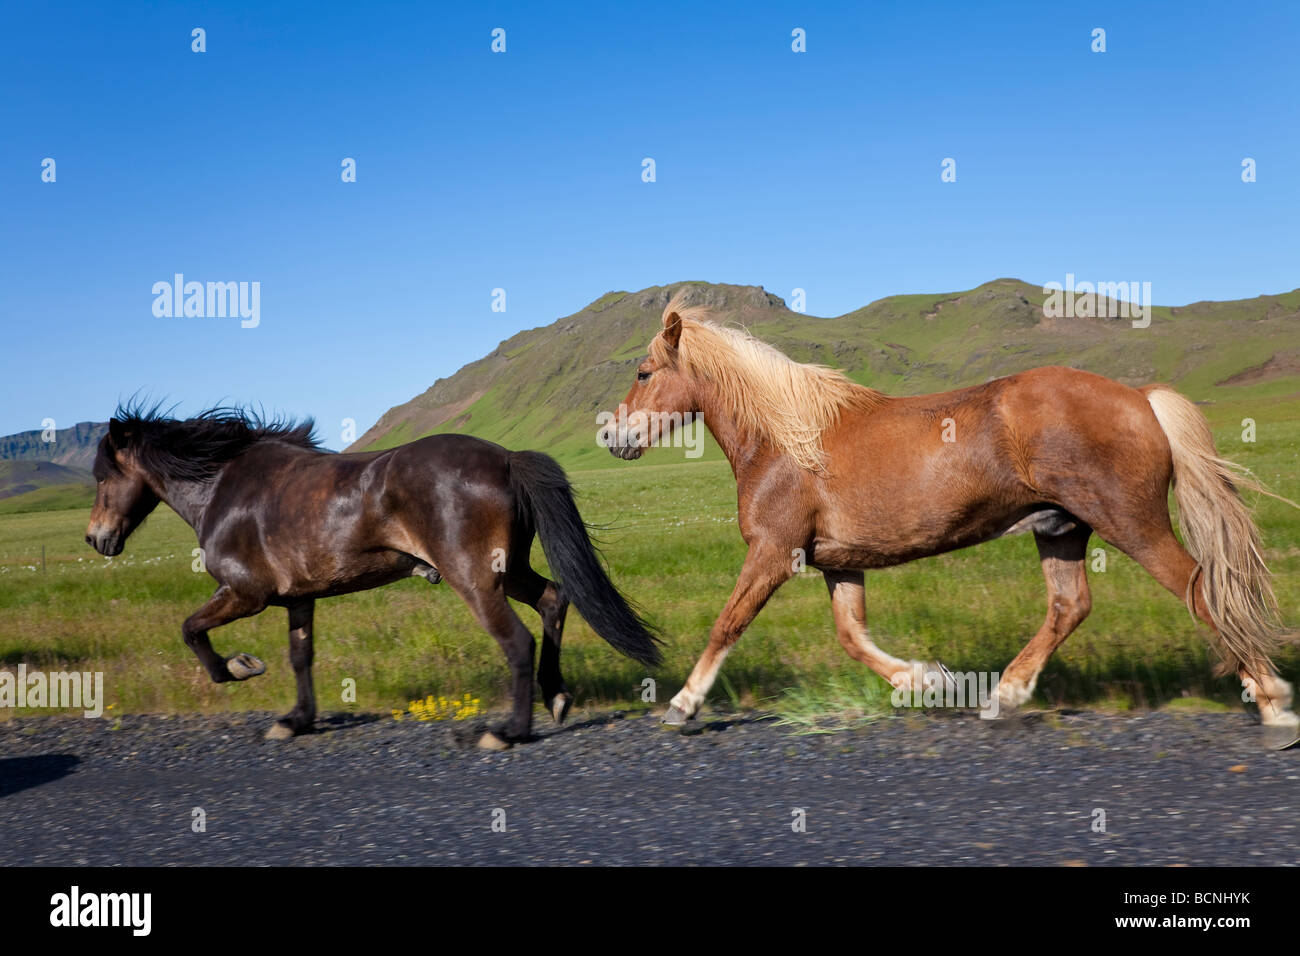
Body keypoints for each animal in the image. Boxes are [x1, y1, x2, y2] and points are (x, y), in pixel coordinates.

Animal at [83, 403, 660, 749]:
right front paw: (295, 720)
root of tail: (505, 458)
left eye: (102, 476)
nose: (96, 539)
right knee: (554, 600)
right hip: (511, 570)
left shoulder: (246, 593)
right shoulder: (298, 598)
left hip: (475, 580)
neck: (222, 486)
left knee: (517, 641)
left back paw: (508, 731)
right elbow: (300, 657)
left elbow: (191, 630)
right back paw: (556, 696)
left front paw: (240, 667)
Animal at [600, 287, 1300, 749]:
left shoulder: (773, 551)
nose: (612, 437)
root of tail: (1139, 397)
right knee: (1069, 606)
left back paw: (1273, 704)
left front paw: (683, 706)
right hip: (1061, 529)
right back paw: (1004, 695)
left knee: (1201, 592)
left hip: (1132, 524)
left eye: (643, 371)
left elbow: (728, 624)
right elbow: (852, 636)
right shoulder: (838, 564)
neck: (785, 441)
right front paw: (927, 681)